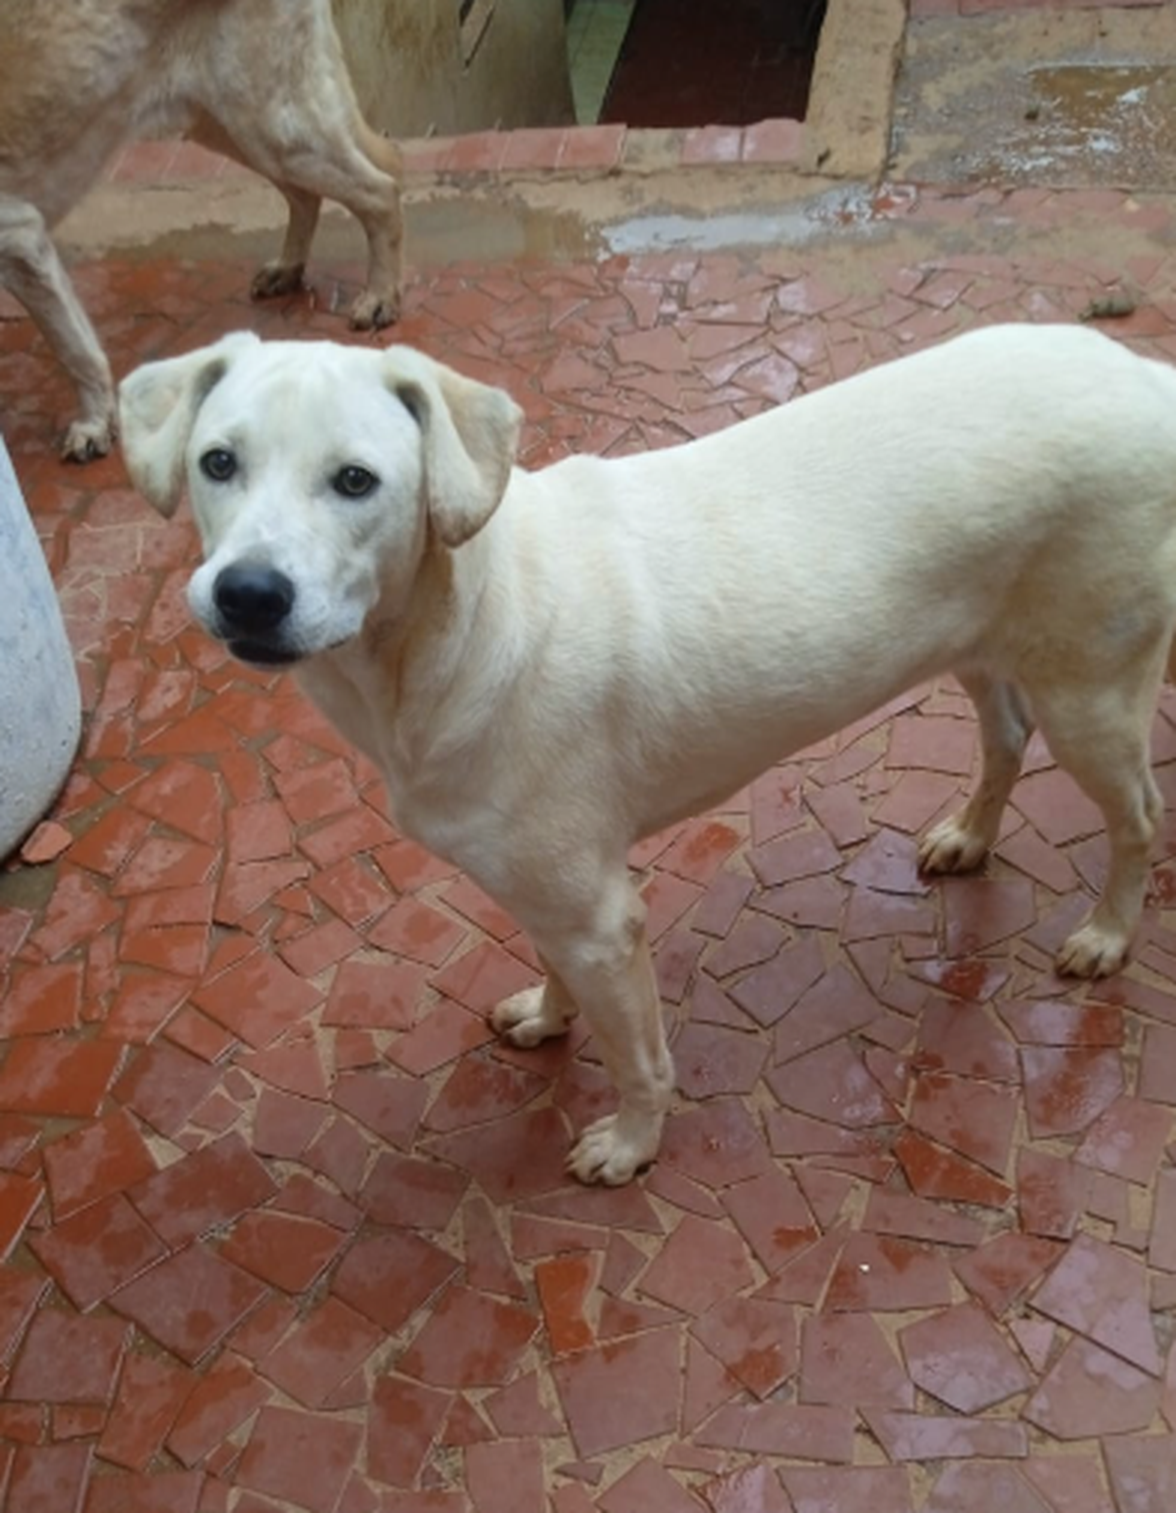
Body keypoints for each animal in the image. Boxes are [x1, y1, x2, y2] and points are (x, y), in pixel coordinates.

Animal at [0, 0, 402, 462]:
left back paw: (380, 297)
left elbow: (74, 349)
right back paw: (288, 268)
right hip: (229, 127)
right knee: (306, 196)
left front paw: (94, 425)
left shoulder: (21, 238)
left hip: (272, 127)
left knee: (381, 190)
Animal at [118, 322, 1176, 1185]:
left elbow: (637, 1056)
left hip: (1093, 694)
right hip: (986, 651)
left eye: (355, 481)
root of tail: (1144, 373)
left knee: (1138, 819)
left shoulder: (600, 915)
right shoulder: (546, 888)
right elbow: (553, 972)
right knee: (1006, 737)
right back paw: (969, 837)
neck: (454, 632)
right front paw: (548, 1018)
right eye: (218, 462)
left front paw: (631, 1146)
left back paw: (1106, 936)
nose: (248, 594)